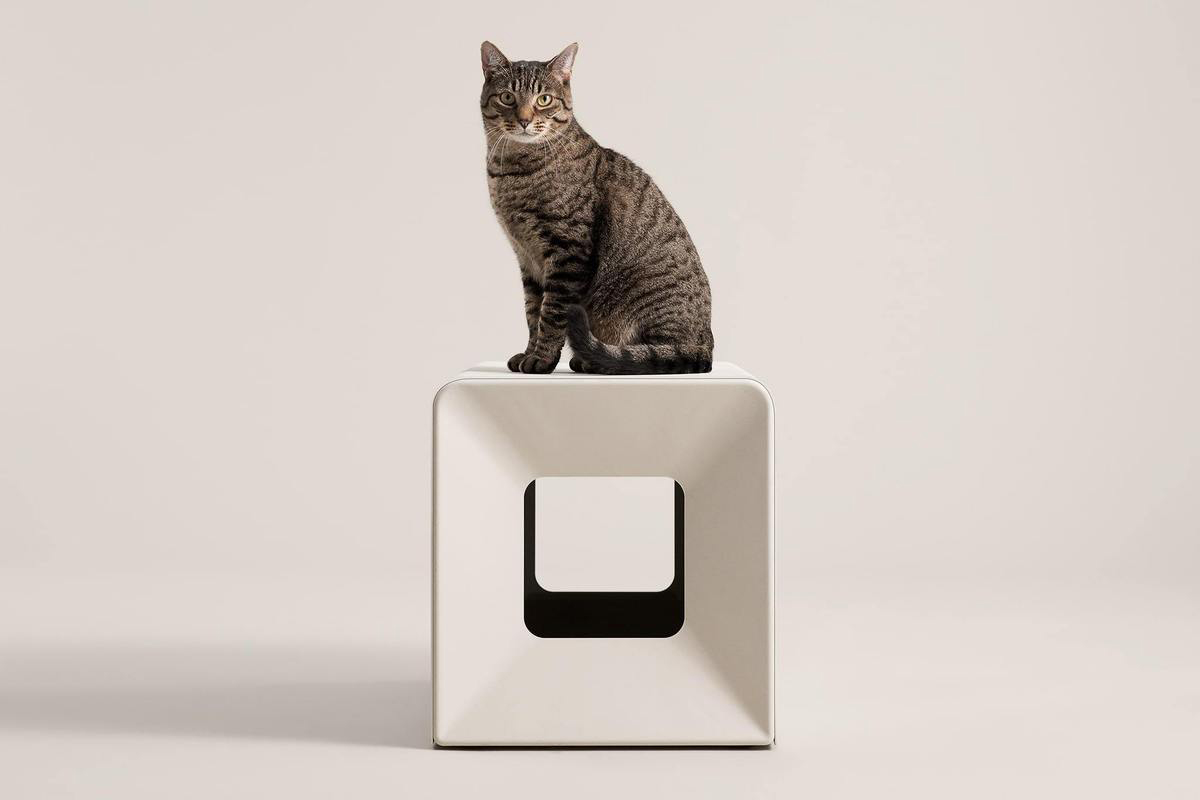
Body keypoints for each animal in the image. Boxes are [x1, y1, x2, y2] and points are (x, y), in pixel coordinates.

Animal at [481, 41, 714, 374]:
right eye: (507, 97)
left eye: (544, 99)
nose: (524, 119)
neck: (513, 171)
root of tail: (706, 347)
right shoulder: (526, 257)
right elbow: (532, 312)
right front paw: (528, 353)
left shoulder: (567, 251)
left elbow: (552, 314)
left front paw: (542, 358)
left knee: (654, 357)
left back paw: (599, 361)